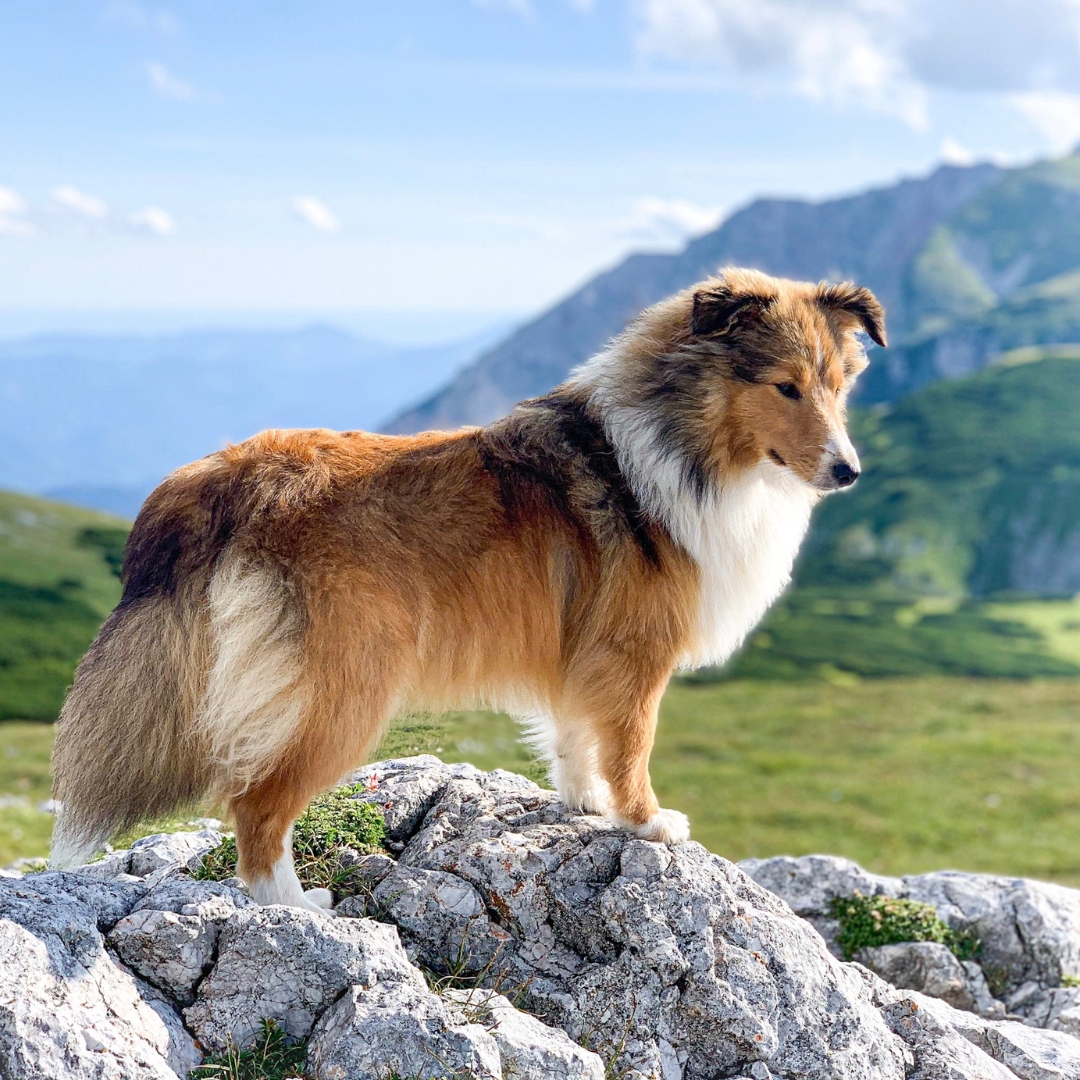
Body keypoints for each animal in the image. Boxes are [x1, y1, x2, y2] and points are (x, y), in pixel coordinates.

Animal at [46, 270, 881, 911]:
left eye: (840, 386)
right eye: (784, 386)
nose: (849, 472)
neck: (679, 441)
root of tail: (228, 473)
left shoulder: (585, 651)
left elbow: (576, 733)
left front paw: (583, 802)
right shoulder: (636, 654)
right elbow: (631, 745)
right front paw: (647, 822)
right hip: (345, 692)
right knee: (255, 805)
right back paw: (294, 905)